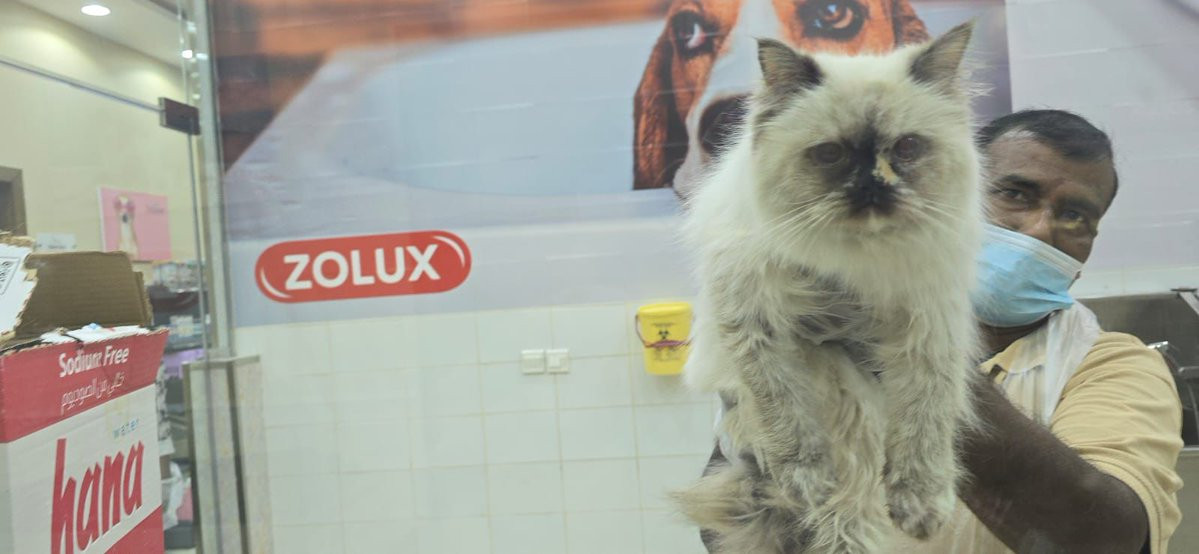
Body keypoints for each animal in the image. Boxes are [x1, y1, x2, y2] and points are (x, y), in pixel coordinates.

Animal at [674, 22, 983, 554]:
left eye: (907, 148)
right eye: (831, 154)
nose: (874, 186)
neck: (855, 259)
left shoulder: (928, 324)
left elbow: (926, 420)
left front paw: (922, 504)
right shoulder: (758, 323)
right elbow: (787, 414)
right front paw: (805, 478)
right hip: (836, 384)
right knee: (846, 499)